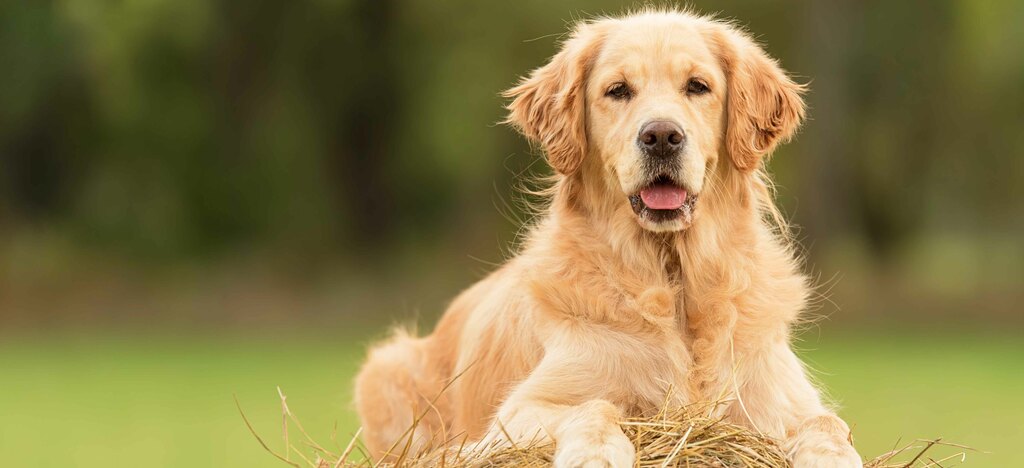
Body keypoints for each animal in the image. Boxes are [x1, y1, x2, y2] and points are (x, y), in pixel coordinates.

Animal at [356, 9, 860, 464]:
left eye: (698, 86)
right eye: (618, 91)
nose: (661, 136)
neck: (673, 280)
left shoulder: (778, 401)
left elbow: (828, 423)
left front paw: (833, 456)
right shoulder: (518, 413)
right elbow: (595, 406)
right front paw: (594, 453)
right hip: (386, 368)